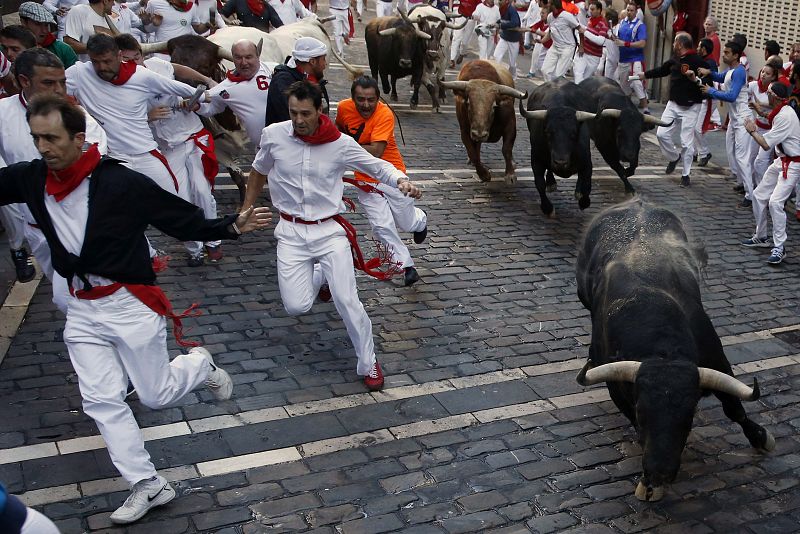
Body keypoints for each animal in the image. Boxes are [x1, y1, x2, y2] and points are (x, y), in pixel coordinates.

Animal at [576, 200, 776, 502]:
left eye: (689, 415)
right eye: (641, 411)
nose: (660, 472)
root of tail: (635, 202)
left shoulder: (717, 361)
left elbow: (734, 408)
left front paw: (761, 436)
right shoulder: (618, 391)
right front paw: (649, 484)